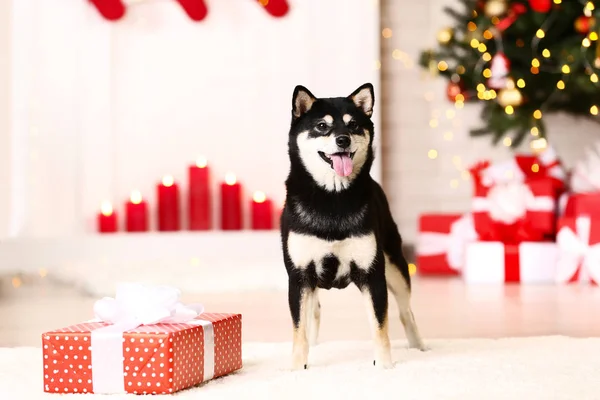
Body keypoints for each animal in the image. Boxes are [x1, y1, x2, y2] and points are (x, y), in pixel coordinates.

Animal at [280, 83, 426, 370]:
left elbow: (380, 327)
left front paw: (385, 367)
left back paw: (419, 347)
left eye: (354, 125)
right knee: (314, 312)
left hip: (395, 267)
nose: (343, 140)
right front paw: (296, 369)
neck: (332, 200)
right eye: (322, 126)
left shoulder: (372, 274)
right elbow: (299, 330)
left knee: (407, 313)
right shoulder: (299, 277)